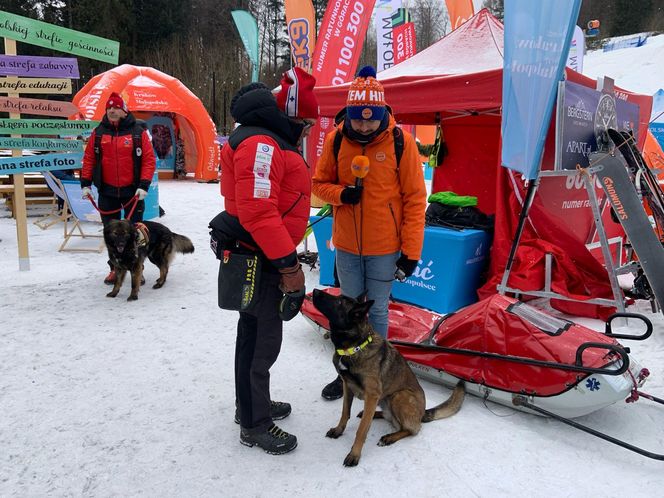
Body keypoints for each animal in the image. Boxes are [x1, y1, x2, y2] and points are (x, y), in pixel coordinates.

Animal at [312, 288, 464, 466]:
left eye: (339, 302)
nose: (314, 290)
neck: (354, 347)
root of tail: (422, 413)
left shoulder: (372, 395)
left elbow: (362, 430)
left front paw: (354, 454)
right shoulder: (347, 386)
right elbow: (345, 413)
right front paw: (338, 430)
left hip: (399, 396)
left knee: (412, 429)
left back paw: (389, 437)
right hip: (385, 399)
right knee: (386, 416)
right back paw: (373, 415)